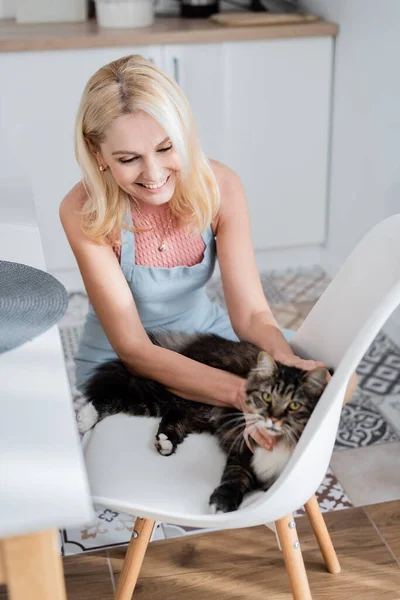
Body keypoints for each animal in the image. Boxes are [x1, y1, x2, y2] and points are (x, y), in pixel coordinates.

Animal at [77, 332, 328, 510]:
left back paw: (165, 442)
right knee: (119, 394)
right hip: (170, 392)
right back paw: (84, 418)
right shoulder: (242, 451)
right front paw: (221, 503)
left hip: (191, 413)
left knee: (172, 417)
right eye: (267, 396)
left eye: (294, 405)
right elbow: (234, 478)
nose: (272, 418)